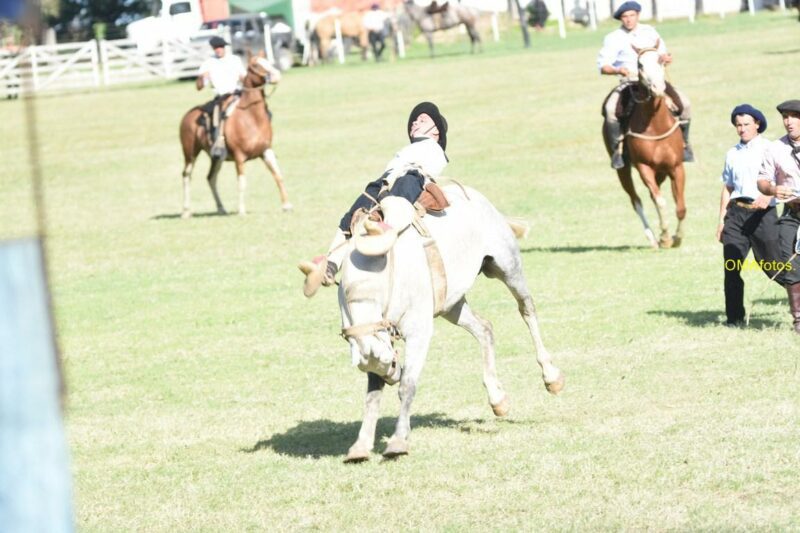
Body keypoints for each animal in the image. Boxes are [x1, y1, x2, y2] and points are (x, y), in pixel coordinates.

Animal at [179, 55, 291, 218]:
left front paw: (287, 205)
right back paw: (186, 212)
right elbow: (242, 182)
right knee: (186, 175)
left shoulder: (266, 151)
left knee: (211, 178)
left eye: (267, 61)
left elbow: (278, 175)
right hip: (190, 153)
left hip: (216, 158)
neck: (251, 117)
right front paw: (242, 210)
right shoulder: (239, 156)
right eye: (255, 66)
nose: (276, 75)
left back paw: (221, 208)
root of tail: (187, 115)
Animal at [338, 186, 565, 462]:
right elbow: (372, 394)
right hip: (451, 303)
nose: (394, 374)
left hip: (508, 267)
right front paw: (360, 446)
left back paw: (551, 376)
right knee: (485, 329)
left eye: (390, 364)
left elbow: (408, 386)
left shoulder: (418, 332)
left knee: (527, 310)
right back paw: (497, 398)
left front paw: (399, 441)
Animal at [604, 45, 687, 249]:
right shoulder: (644, 167)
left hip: (662, 172)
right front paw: (665, 238)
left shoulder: (676, 167)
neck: (656, 125)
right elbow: (660, 201)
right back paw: (652, 238)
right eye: (640, 64)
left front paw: (677, 238)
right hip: (624, 171)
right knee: (636, 200)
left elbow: (680, 206)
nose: (657, 88)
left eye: (661, 60)